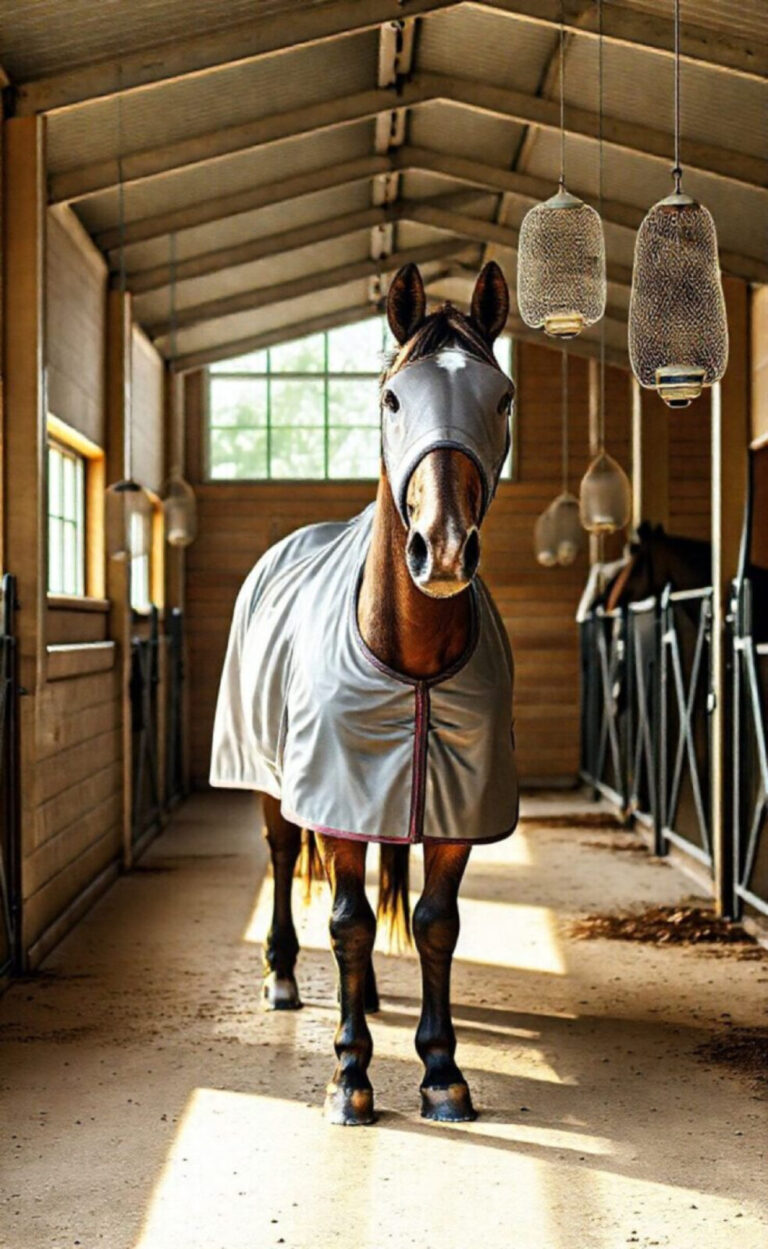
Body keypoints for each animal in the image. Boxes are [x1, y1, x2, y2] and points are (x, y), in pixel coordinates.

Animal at [210, 261, 519, 1126]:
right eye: (391, 397)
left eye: (502, 396)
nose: (441, 548)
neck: (407, 651)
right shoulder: (333, 795)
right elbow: (346, 924)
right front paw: (350, 1073)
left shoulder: (453, 809)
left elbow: (436, 923)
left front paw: (442, 1069)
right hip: (271, 781)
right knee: (284, 857)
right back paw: (282, 975)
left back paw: (374, 995)